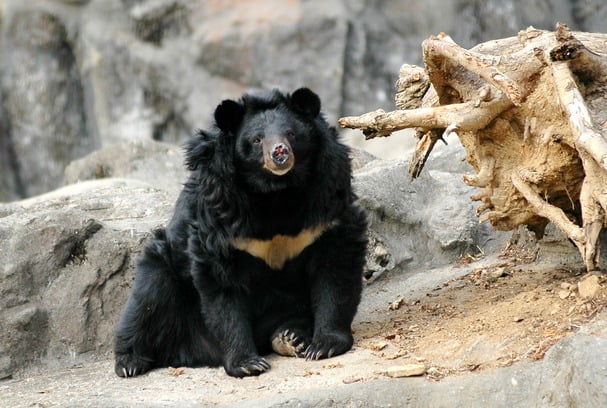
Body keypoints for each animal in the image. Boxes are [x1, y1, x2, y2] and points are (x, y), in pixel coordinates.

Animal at [115, 87, 370, 378]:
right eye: (257, 140)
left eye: (291, 133)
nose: (279, 152)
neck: (277, 192)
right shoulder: (222, 209)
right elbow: (222, 284)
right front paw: (247, 363)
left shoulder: (326, 197)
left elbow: (336, 266)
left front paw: (323, 346)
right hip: (163, 265)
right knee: (147, 299)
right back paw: (129, 362)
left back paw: (290, 337)